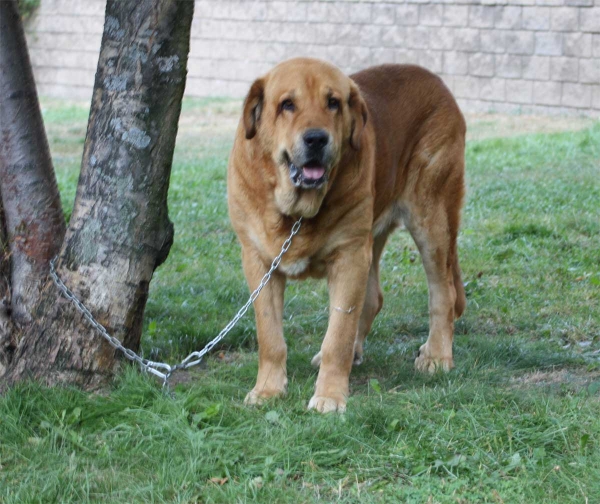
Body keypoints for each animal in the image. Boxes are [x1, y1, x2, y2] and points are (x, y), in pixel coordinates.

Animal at [227, 59, 466, 414]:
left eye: (333, 103)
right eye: (287, 105)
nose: (316, 139)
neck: (296, 212)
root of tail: (438, 83)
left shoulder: (349, 257)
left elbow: (337, 335)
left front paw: (329, 396)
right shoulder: (258, 261)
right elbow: (270, 336)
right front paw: (268, 390)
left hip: (432, 219)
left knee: (443, 292)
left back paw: (436, 355)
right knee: (373, 298)